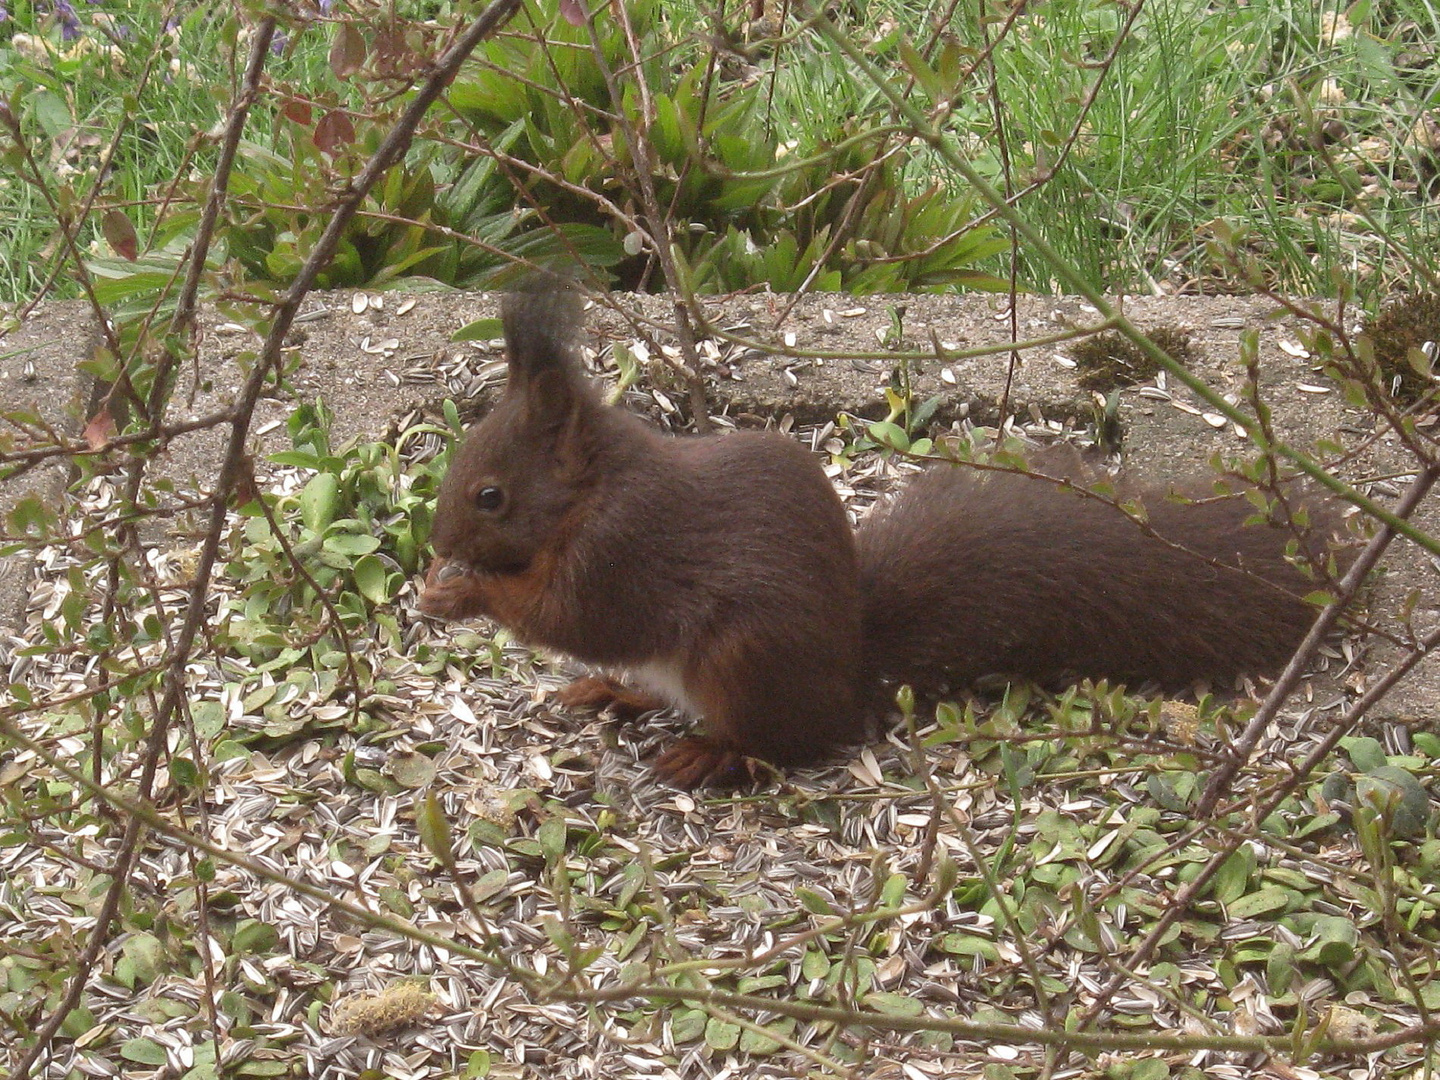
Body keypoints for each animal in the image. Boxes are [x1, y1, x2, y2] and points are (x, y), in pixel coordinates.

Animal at [420, 289, 1336, 789]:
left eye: (491, 496)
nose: (439, 537)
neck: (592, 491)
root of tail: (851, 671)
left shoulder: (619, 550)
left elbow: (568, 618)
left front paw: (462, 592)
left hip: (745, 660)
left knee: (786, 742)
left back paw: (714, 756)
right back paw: (619, 694)